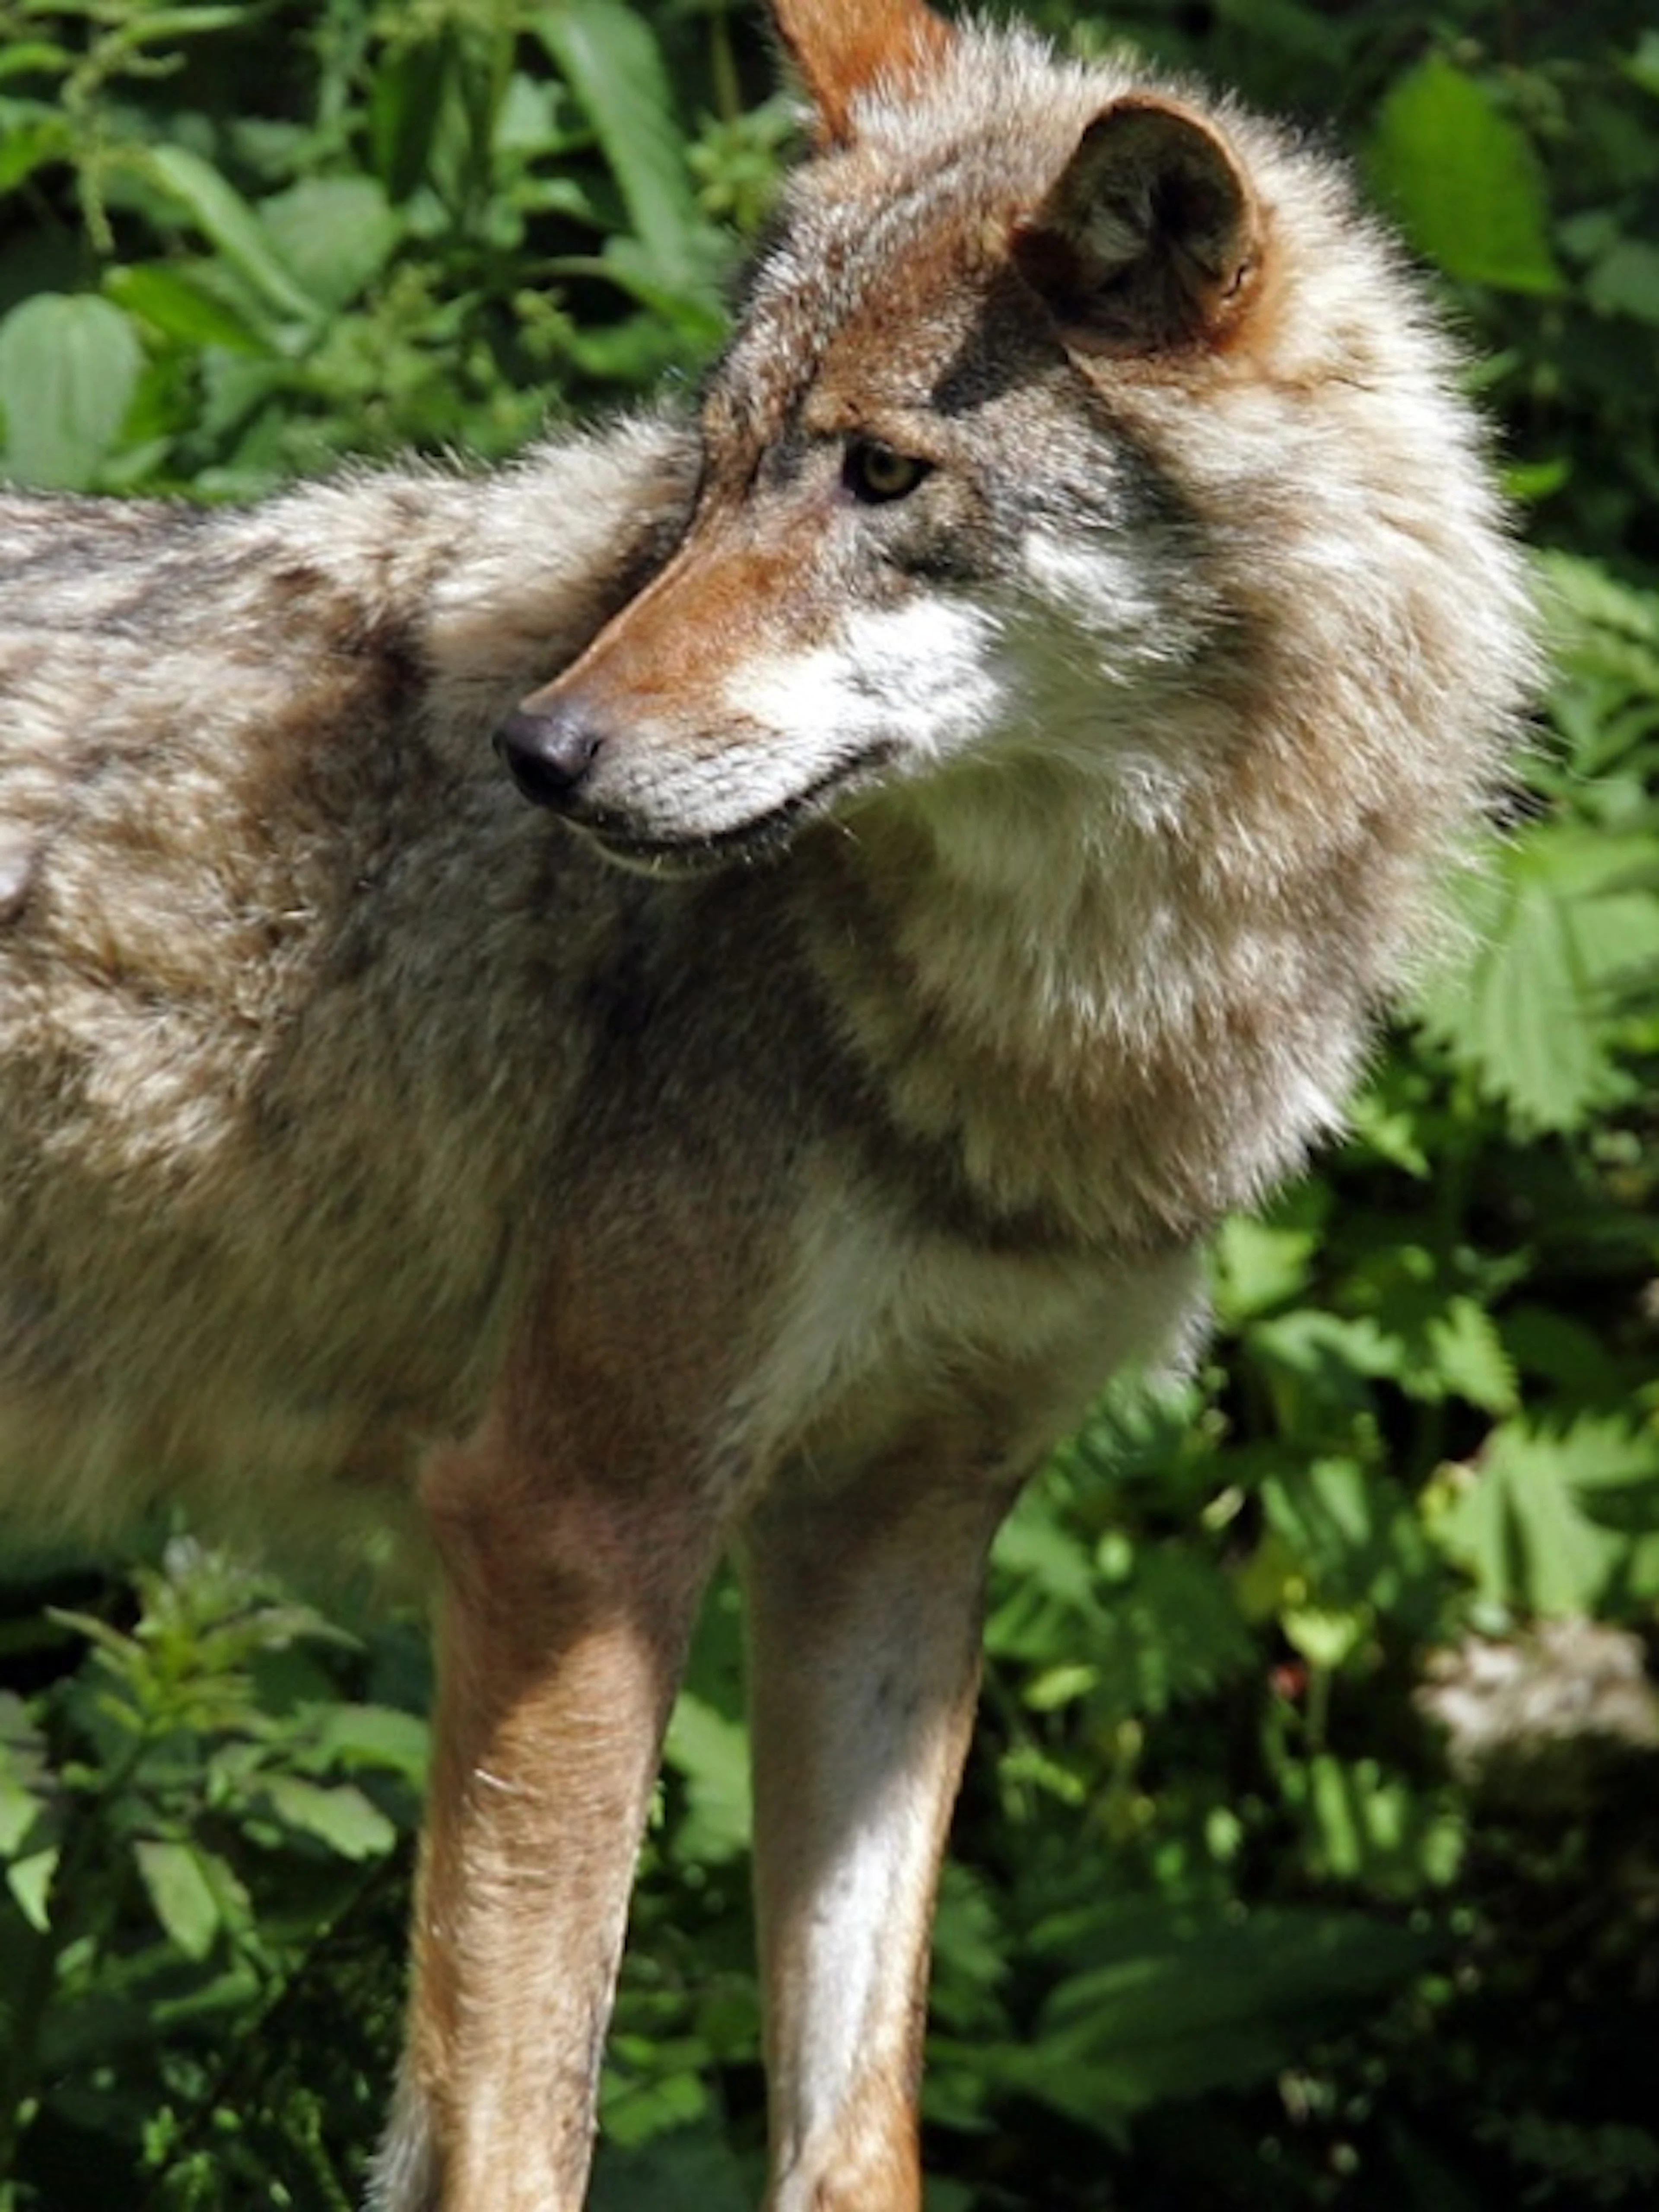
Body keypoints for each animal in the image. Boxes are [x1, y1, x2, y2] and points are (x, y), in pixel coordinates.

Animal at [0, 0, 1532, 2204]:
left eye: (885, 472)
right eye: (714, 468)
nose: (538, 754)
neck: (1057, 1023)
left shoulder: (896, 1531)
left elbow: (853, 2118)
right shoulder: (571, 1515)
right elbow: (519, 2126)